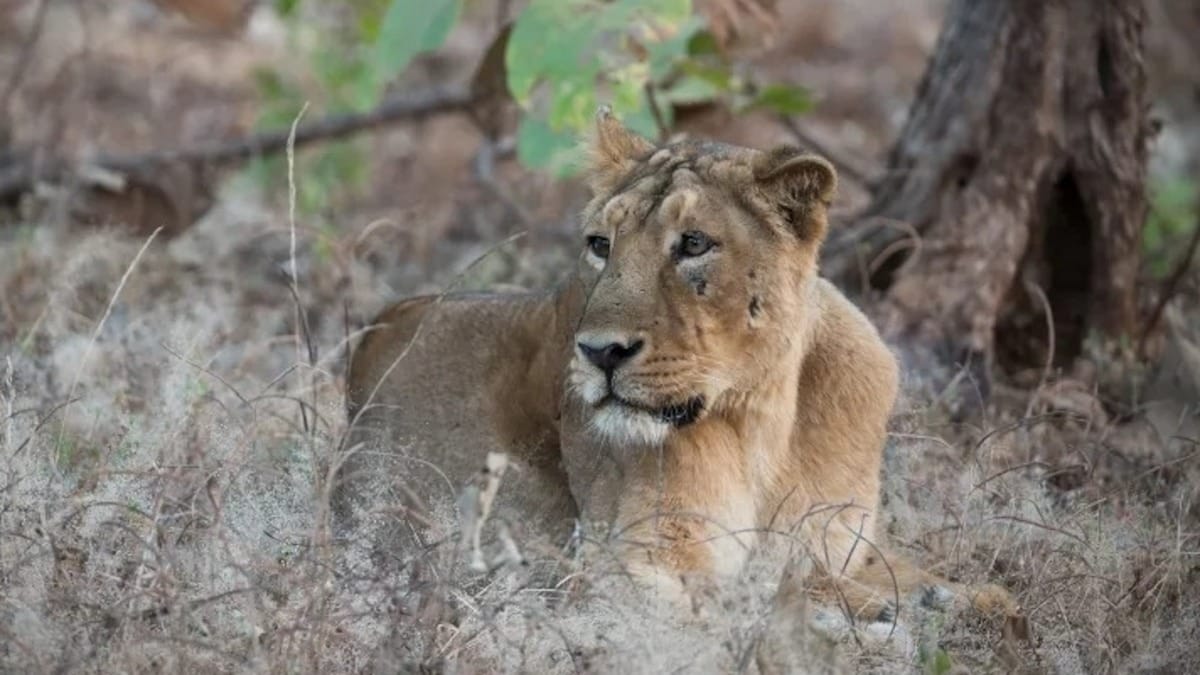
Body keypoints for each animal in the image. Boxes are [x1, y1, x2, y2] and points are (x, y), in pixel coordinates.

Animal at [337, 109, 1022, 633]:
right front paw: (867, 609)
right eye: (600, 245)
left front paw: (960, 599)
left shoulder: (843, 542)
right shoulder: (630, 563)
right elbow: (760, 593)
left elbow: (934, 581)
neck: (766, 420)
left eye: (694, 244)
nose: (600, 352)